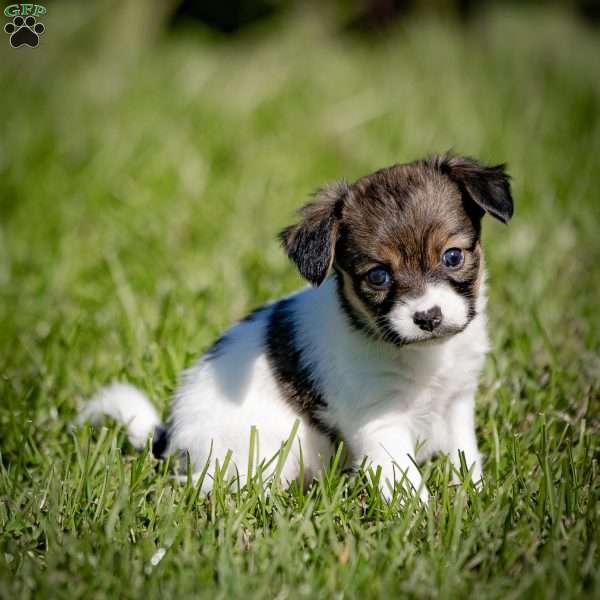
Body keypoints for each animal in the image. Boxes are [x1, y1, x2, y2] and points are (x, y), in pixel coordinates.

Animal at [77, 155, 512, 502]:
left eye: (452, 257)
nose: (428, 317)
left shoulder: (456, 402)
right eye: (378, 276)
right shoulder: (380, 421)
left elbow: (465, 456)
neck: (423, 356)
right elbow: (405, 481)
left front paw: (474, 496)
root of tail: (173, 438)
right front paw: (422, 521)